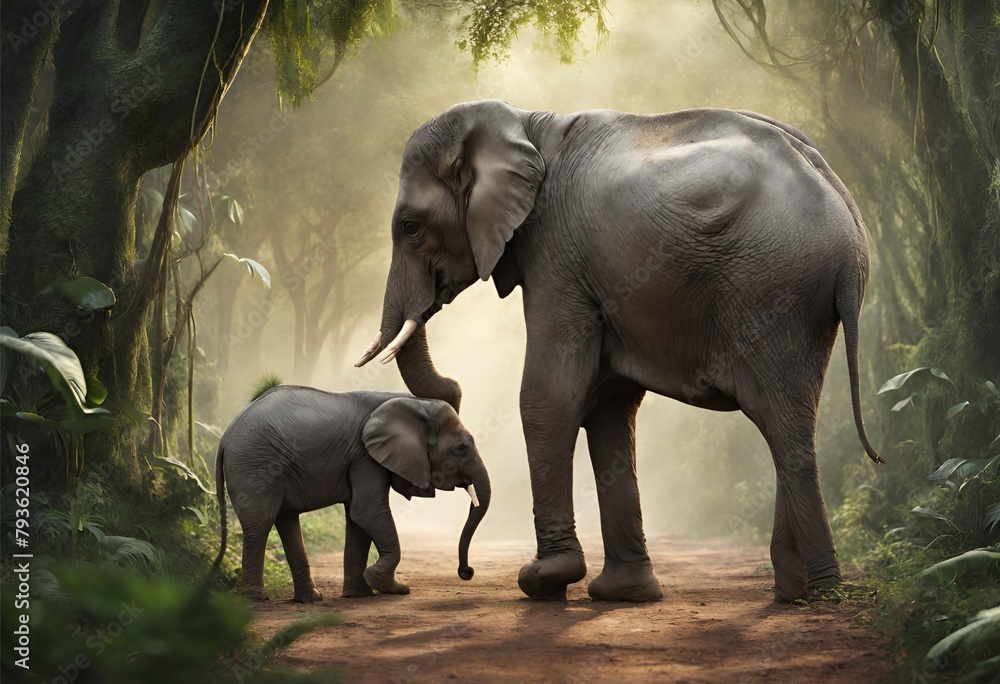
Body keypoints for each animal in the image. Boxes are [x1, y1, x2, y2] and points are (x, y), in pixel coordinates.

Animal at [214, 385, 490, 602]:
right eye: (461, 448)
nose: (467, 572)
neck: (411, 400)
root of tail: (224, 438)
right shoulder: (365, 455)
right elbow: (367, 511)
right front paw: (391, 587)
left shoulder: (361, 457)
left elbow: (357, 518)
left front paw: (359, 594)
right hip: (254, 466)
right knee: (260, 525)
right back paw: (256, 600)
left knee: (286, 520)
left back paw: (310, 599)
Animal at [354, 100, 883, 604]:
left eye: (411, 227)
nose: (455, 389)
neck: (525, 124)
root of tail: (848, 219)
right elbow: (609, 406)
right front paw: (624, 595)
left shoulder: (555, 256)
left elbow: (548, 396)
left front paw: (544, 580)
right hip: (800, 304)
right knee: (789, 422)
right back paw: (793, 593)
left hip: (774, 290)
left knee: (781, 424)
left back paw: (820, 593)